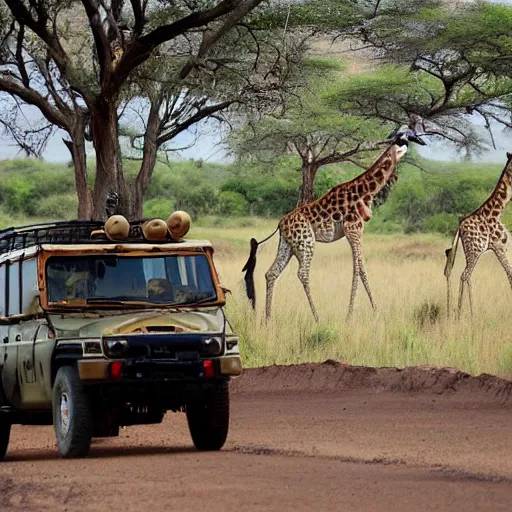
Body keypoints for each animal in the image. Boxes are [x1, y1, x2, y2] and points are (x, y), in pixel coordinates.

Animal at [242, 128, 426, 320]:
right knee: (302, 274)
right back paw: (317, 318)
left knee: (271, 273)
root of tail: (280, 224)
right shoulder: (354, 228)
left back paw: (268, 319)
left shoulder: (353, 231)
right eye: (405, 138)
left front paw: (369, 311)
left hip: (288, 245)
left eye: (411, 137)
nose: (408, 146)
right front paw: (356, 315)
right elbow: (359, 270)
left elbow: (360, 268)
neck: (366, 191)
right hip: (306, 243)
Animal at [442, 150, 512, 314]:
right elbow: (510, 275)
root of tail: (460, 228)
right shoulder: (500, 246)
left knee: (456, 273)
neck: (498, 211)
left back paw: (457, 312)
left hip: (469, 251)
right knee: (465, 275)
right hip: (474, 251)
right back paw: (469, 314)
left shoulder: (504, 246)